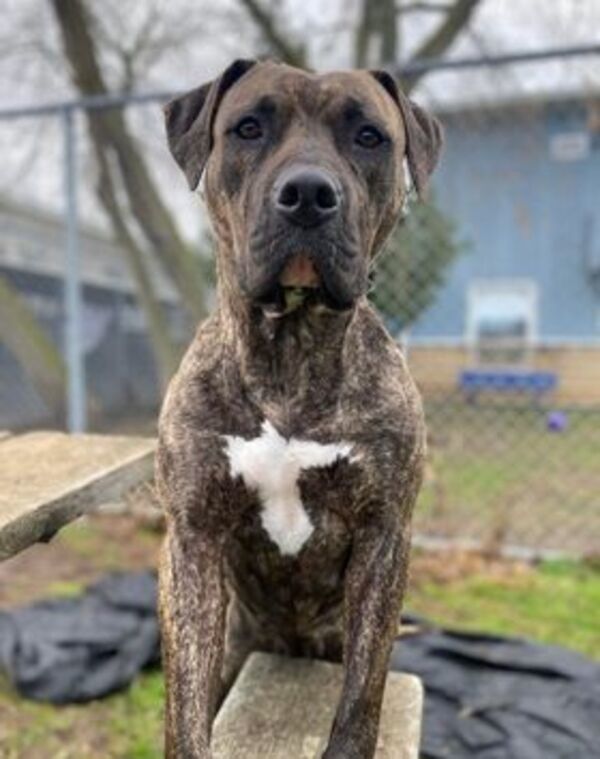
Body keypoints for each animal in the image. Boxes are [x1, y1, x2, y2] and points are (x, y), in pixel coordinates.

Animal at [157, 59, 442, 759]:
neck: (291, 352)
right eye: (248, 128)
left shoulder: (383, 536)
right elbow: (184, 704)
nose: (309, 193)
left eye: (369, 136)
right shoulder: (192, 538)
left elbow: (363, 695)